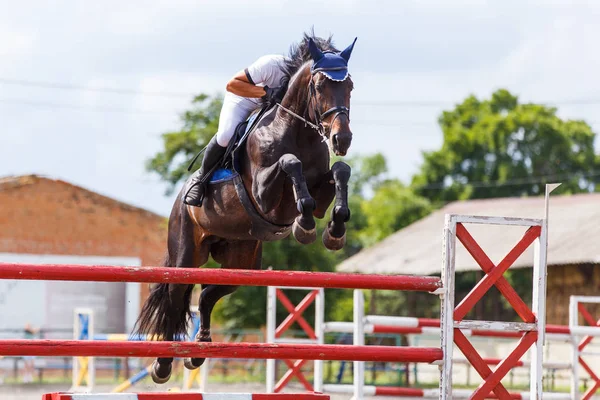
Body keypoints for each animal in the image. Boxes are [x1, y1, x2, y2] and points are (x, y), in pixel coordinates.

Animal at [132, 35, 356, 384]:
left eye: (350, 86)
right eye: (320, 86)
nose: (341, 138)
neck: (297, 131)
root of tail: (178, 203)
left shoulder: (321, 189)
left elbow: (341, 171)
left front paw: (334, 231)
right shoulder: (264, 195)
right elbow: (290, 163)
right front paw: (304, 227)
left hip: (241, 262)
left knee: (207, 295)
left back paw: (198, 351)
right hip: (185, 254)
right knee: (176, 296)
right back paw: (163, 364)